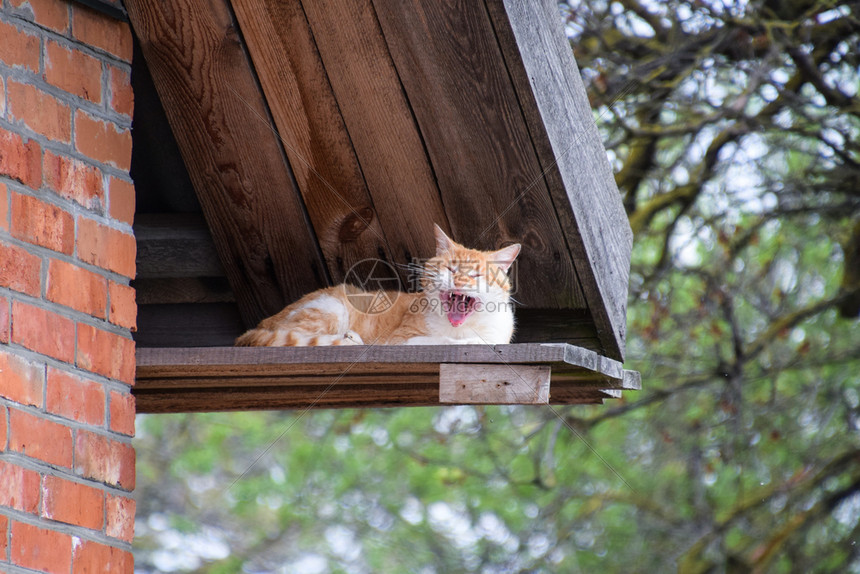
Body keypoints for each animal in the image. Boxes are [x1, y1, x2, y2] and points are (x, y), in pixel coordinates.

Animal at [232, 225, 520, 346]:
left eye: (476, 275)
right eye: (451, 269)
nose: (459, 280)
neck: (460, 328)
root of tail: (255, 327)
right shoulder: (402, 340)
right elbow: (444, 341)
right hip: (332, 307)